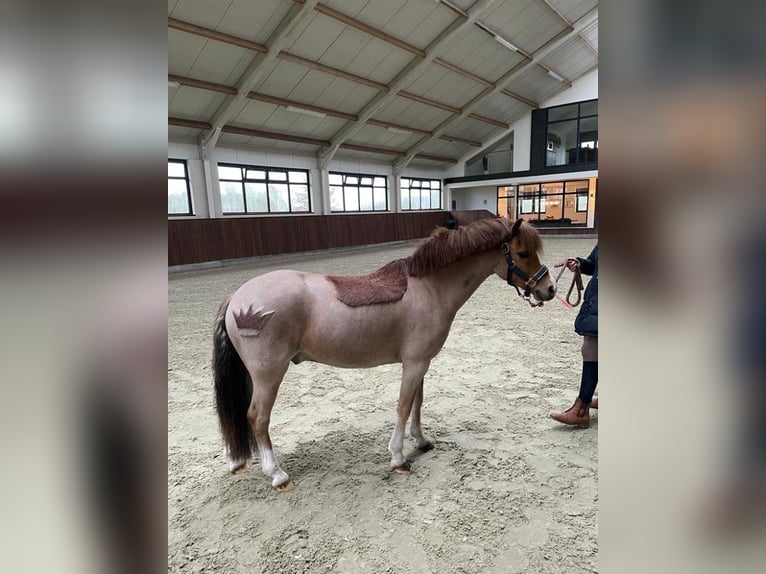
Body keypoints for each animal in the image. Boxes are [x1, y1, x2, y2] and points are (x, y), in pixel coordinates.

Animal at [213, 218, 556, 492]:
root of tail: (237, 298)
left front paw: (421, 441)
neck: (429, 288)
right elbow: (403, 406)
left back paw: (238, 461)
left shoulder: (421, 363)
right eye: (523, 253)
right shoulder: (414, 364)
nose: (549, 290)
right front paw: (398, 457)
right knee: (257, 418)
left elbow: (418, 403)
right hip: (269, 374)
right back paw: (277, 474)